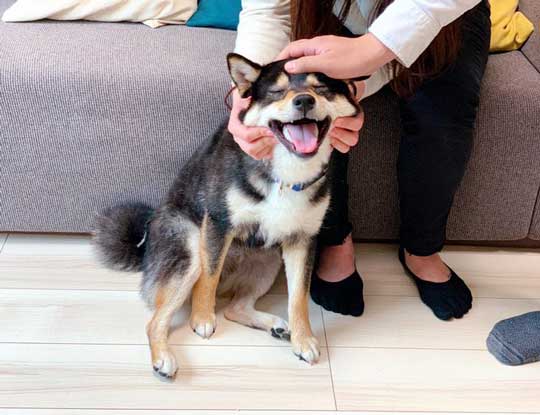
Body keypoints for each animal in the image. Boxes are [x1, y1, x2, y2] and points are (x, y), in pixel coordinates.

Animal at [94, 53, 358, 382]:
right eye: (276, 92)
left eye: (321, 89)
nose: (304, 101)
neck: (286, 174)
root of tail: (145, 247)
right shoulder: (219, 223)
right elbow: (208, 278)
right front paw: (202, 318)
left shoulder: (301, 241)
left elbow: (298, 297)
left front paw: (304, 339)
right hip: (190, 250)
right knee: (157, 319)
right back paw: (164, 358)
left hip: (267, 263)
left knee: (235, 308)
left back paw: (276, 326)